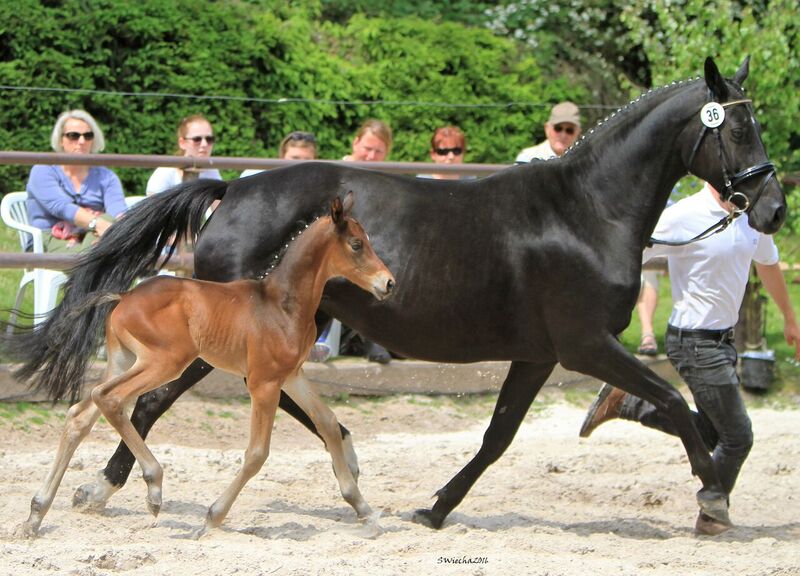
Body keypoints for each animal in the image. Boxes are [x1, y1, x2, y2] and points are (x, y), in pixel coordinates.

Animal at [16, 192, 394, 536]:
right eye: (357, 244)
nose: (389, 283)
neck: (282, 305)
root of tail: (124, 296)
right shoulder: (264, 383)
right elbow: (257, 453)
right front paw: (213, 517)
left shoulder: (292, 376)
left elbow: (328, 424)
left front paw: (364, 510)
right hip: (165, 362)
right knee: (108, 398)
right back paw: (154, 487)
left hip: (124, 360)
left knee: (80, 415)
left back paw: (35, 514)